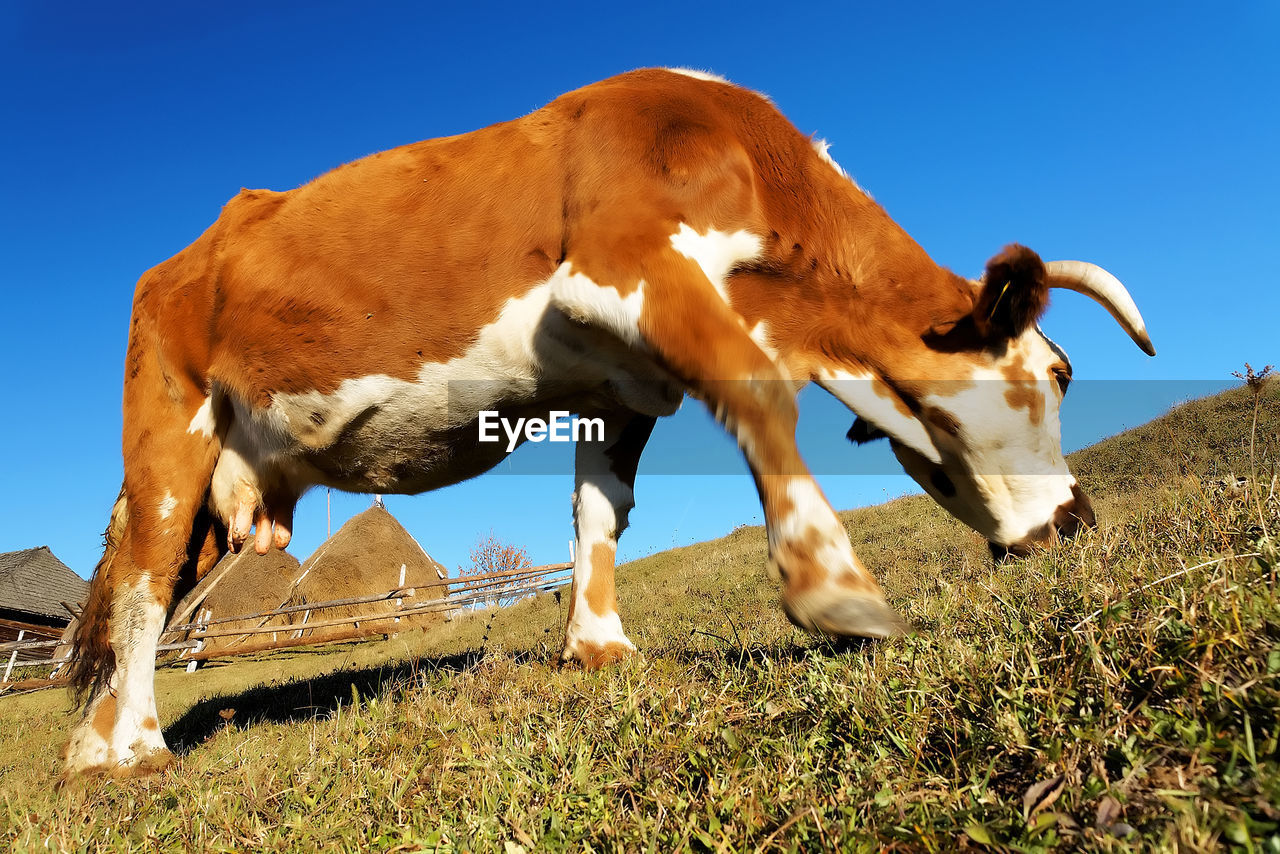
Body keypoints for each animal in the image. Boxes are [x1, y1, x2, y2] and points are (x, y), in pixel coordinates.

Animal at [64, 65, 1157, 773]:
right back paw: (135, 747)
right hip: (169, 434)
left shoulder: (618, 386)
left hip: (232, 486)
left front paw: (596, 643)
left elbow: (602, 510)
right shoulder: (623, 274)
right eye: (1058, 373)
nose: (1080, 520)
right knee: (144, 584)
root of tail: (188, 252)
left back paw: (91, 738)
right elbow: (761, 394)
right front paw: (834, 588)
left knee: (145, 594)